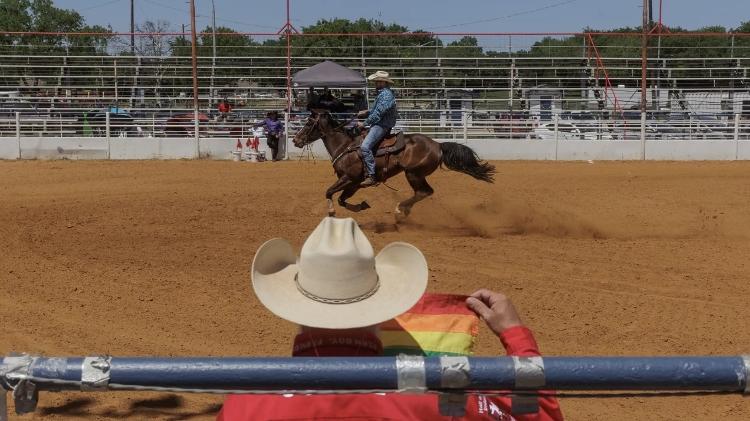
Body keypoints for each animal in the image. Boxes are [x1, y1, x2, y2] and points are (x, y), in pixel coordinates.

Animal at [296, 110, 500, 217]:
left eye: (308, 123)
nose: (295, 140)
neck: (345, 146)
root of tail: (438, 145)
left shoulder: (349, 178)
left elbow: (329, 192)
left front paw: (331, 211)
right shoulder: (354, 183)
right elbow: (341, 199)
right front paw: (362, 206)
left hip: (413, 173)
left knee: (424, 192)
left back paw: (400, 208)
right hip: (415, 174)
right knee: (424, 192)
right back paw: (404, 210)